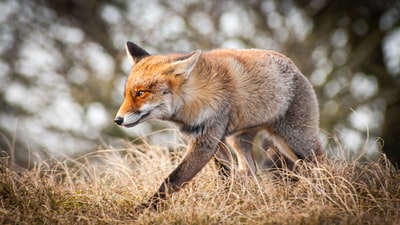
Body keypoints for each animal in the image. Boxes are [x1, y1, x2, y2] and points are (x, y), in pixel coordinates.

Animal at [114, 40, 324, 209]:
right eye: (126, 94)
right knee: (248, 170)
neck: (191, 99)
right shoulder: (215, 138)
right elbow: (224, 175)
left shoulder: (206, 141)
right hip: (239, 140)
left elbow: (172, 179)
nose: (117, 120)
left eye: (141, 93)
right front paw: (227, 198)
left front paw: (146, 208)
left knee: (319, 165)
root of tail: (295, 68)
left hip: (297, 142)